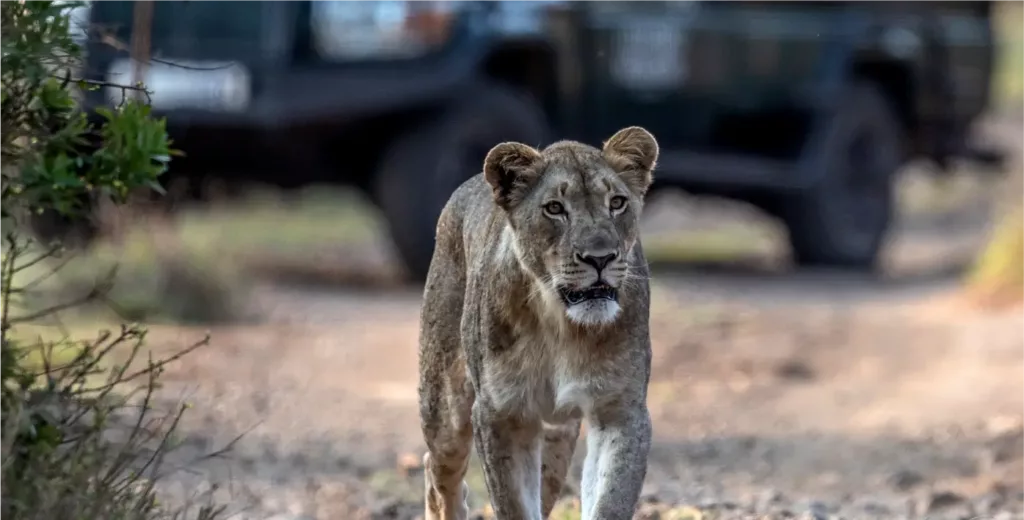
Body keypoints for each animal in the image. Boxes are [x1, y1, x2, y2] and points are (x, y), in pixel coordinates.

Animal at [417, 126, 658, 520]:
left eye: (617, 203)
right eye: (555, 208)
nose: (600, 258)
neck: (562, 325)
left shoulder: (620, 409)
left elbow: (610, 499)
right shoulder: (500, 414)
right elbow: (512, 504)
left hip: (557, 438)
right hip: (444, 411)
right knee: (439, 475)